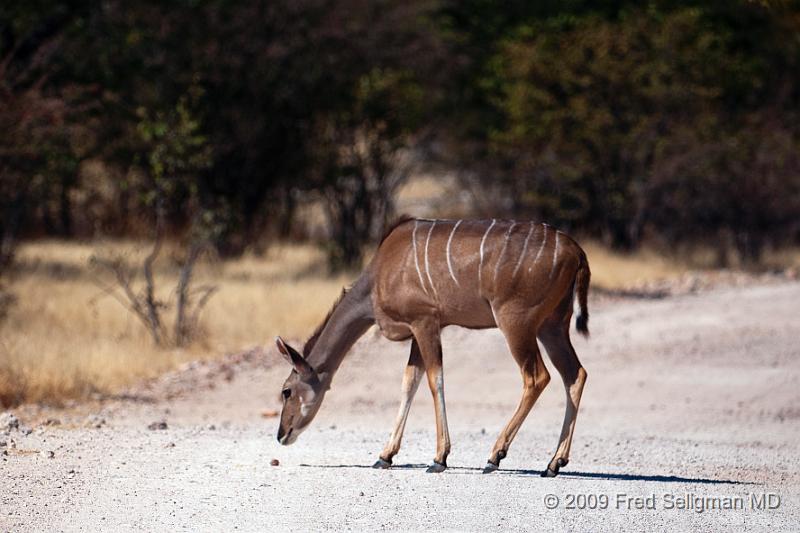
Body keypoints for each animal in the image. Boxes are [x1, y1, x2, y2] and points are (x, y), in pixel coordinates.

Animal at [276, 216, 588, 474]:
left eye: (286, 391)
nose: (281, 434)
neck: (378, 276)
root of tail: (576, 252)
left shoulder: (425, 321)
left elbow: (434, 380)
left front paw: (439, 458)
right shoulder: (419, 331)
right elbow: (409, 383)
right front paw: (385, 455)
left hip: (516, 323)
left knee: (537, 377)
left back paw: (495, 456)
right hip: (553, 326)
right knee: (575, 374)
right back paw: (554, 462)